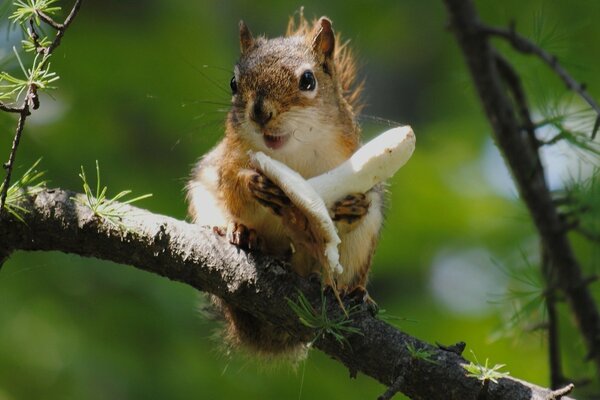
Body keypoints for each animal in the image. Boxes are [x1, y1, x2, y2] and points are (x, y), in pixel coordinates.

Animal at [186, 13, 384, 356]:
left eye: (308, 81)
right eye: (234, 83)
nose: (259, 112)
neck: (290, 153)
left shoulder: (349, 159)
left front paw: (354, 205)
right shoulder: (227, 158)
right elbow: (232, 182)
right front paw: (252, 183)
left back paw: (353, 291)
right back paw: (241, 232)